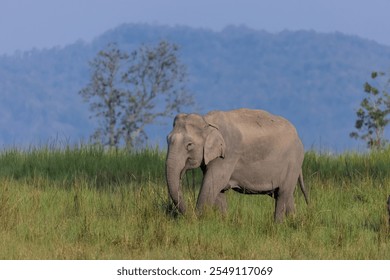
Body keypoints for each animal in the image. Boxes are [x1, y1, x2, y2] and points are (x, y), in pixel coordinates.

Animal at [165, 108, 308, 222]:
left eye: (189, 145)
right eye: (167, 139)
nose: (187, 215)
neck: (207, 121)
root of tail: (298, 138)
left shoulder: (228, 154)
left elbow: (212, 183)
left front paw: (198, 220)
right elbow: (218, 189)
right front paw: (223, 222)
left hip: (293, 163)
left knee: (283, 194)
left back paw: (278, 225)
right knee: (285, 195)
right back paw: (292, 222)